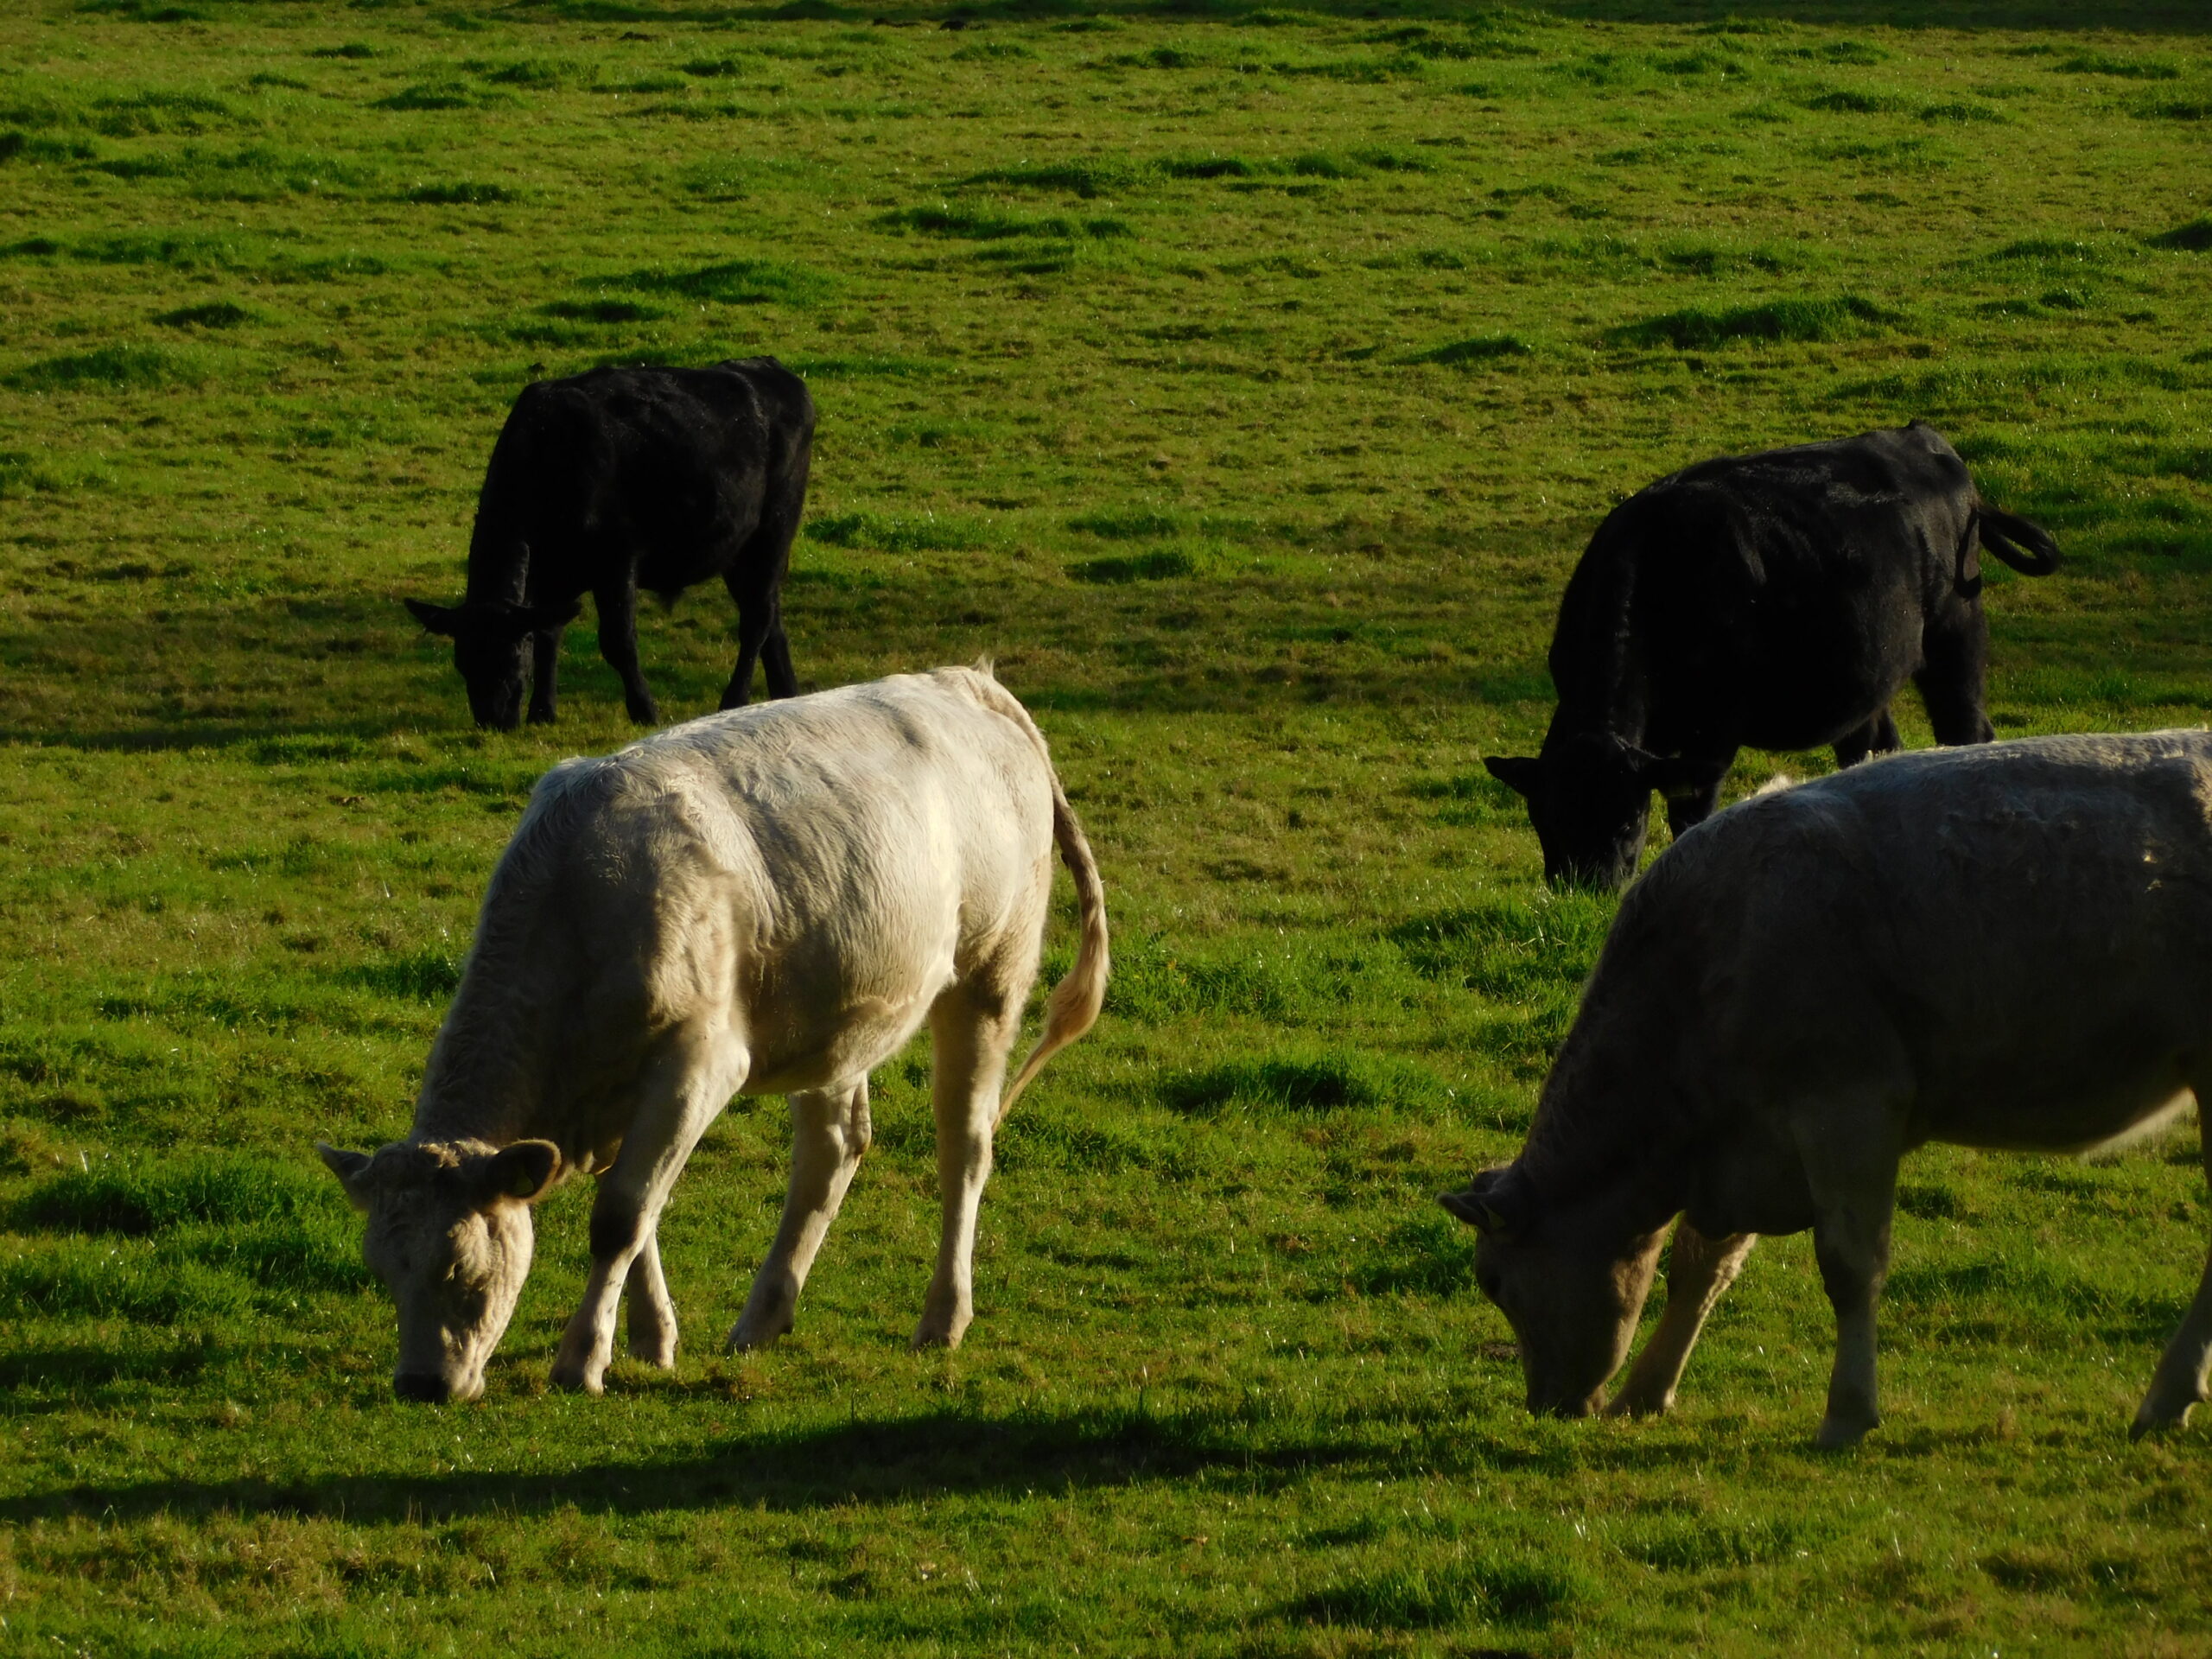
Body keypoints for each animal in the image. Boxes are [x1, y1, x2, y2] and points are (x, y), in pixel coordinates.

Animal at [317, 667, 1109, 1402]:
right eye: (380, 1268)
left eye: (463, 1269)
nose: (420, 1384)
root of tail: (966, 681)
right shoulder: (616, 1093)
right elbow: (643, 1214)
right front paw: (650, 1338)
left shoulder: (697, 1064)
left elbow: (622, 1216)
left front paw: (582, 1360)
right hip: (834, 1016)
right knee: (832, 1151)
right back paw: (763, 1317)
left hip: (990, 976)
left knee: (964, 1147)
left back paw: (943, 1318)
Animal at [405, 357, 816, 730]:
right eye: (462, 661)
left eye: (510, 658)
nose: (493, 722)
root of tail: (772, 369)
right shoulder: (550, 572)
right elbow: (549, 634)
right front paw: (543, 711)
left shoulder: (617, 558)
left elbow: (618, 641)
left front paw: (644, 710)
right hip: (737, 549)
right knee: (769, 614)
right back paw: (786, 695)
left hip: (774, 528)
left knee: (756, 618)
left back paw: (733, 700)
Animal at [1442, 730, 2212, 1447]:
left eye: (1492, 1281)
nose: (1546, 1404)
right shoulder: (1750, 1136)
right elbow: (1702, 1266)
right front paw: (1647, 1391)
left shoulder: (1846, 1105)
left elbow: (1849, 1267)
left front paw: (1846, 1412)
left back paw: (2165, 1398)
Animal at [1484, 422, 2060, 890]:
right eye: (1546, 819)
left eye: (1628, 820)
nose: (1587, 886)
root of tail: (1924, 439)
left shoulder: (1713, 729)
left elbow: (1692, 811)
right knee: (1874, 744)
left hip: (1955, 632)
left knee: (1966, 726)